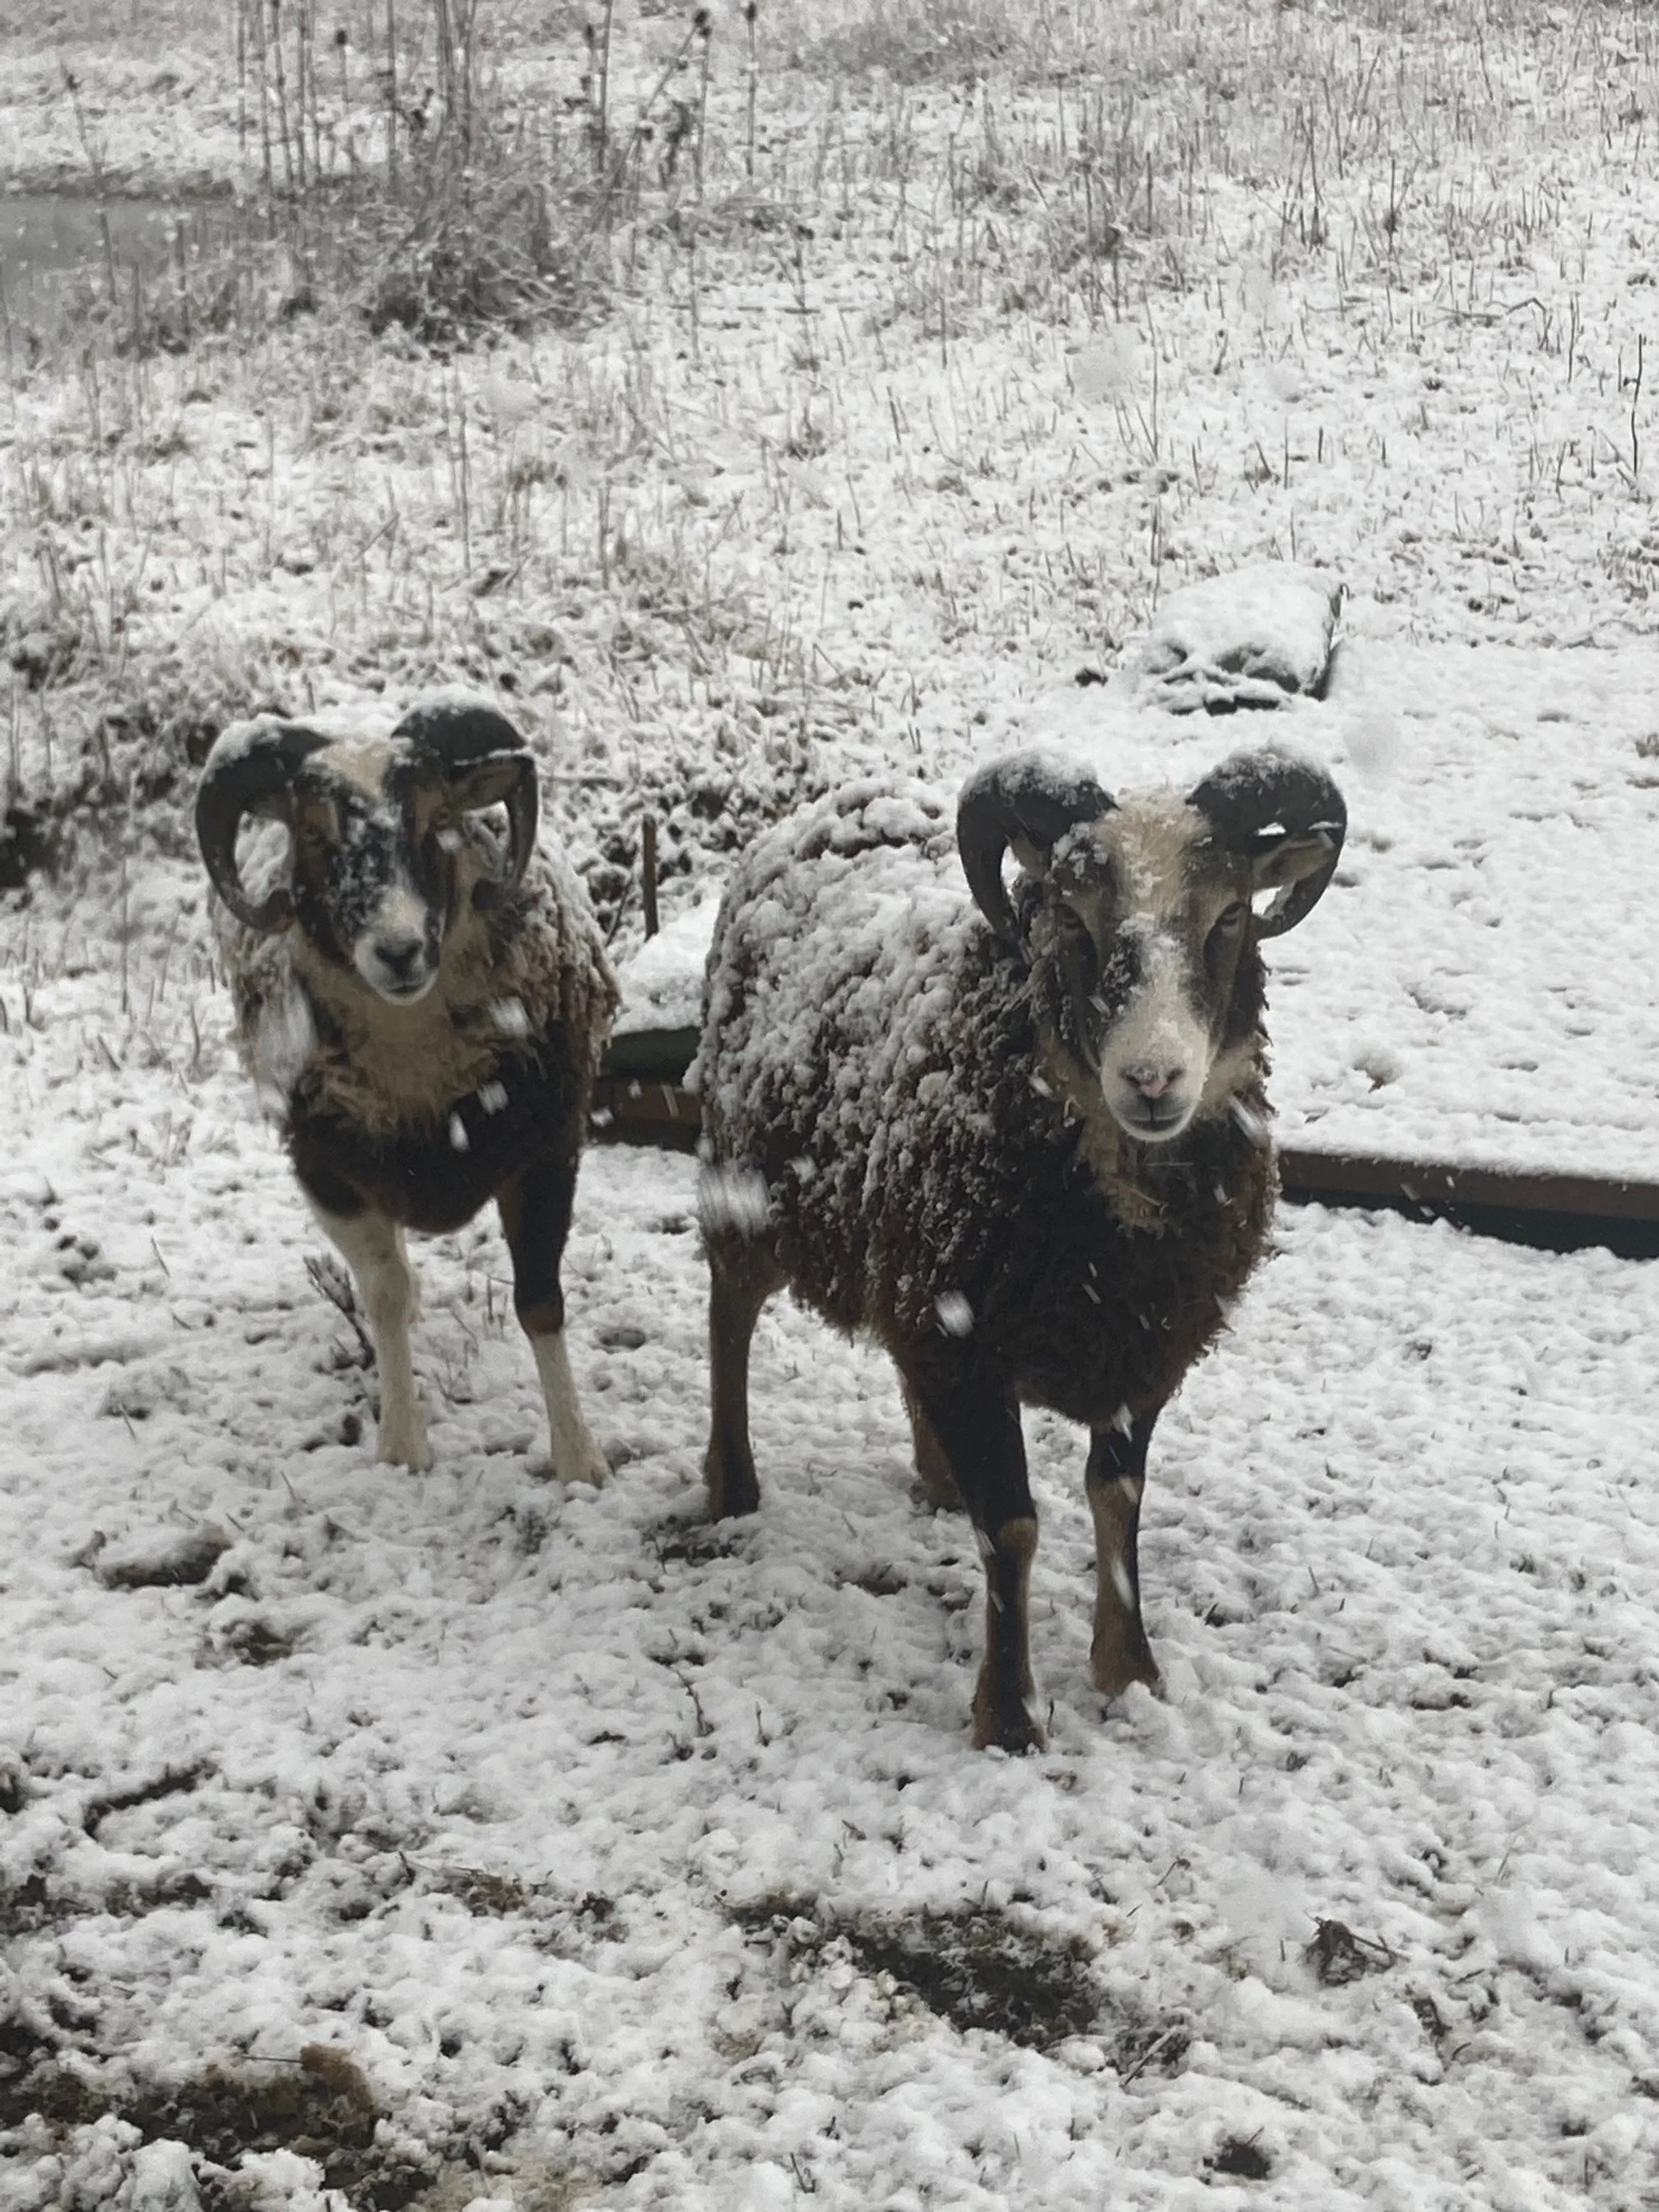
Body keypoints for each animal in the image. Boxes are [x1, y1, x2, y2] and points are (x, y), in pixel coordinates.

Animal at [196, 695, 618, 1479]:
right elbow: (384, 1293)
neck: (418, 1070)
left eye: (436, 818)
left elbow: (540, 1302)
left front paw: (581, 1461)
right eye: (311, 831)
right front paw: (402, 1448)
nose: (399, 951)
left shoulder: (548, 1151)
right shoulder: (327, 1169)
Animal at [693, 744, 1346, 1751]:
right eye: (1069, 917)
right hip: (751, 1181)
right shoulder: (968, 1343)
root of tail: (814, 811)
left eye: (1232, 914)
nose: (1153, 1079)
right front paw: (1008, 1714)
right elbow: (1013, 1529)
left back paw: (935, 1476)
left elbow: (1117, 1502)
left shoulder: (1140, 1347)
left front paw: (1129, 1671)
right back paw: (731, 1484)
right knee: (728, 1314)